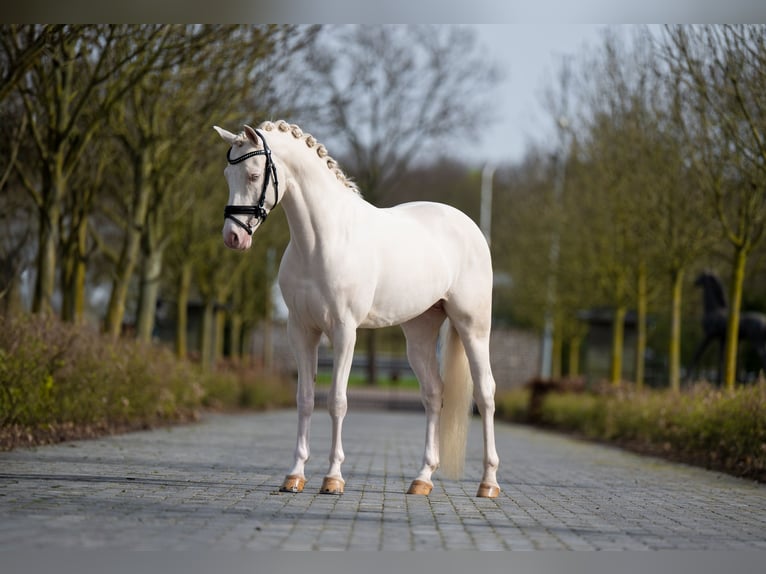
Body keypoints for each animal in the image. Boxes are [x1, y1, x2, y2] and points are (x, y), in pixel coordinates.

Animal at [216, 120, 500, 500]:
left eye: (253, 174)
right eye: (227, 175)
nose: (233, 237)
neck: (322, 241)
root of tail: (469, 227)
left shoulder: (344, 331)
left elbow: (337, 400)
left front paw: (333, 478)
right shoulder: (301, 332)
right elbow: (305, 399)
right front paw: (294, 476)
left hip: (473, 326)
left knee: (485, 393)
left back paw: (489, 482)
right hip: (420, 332)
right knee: (433, 394)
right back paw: (422, 479)